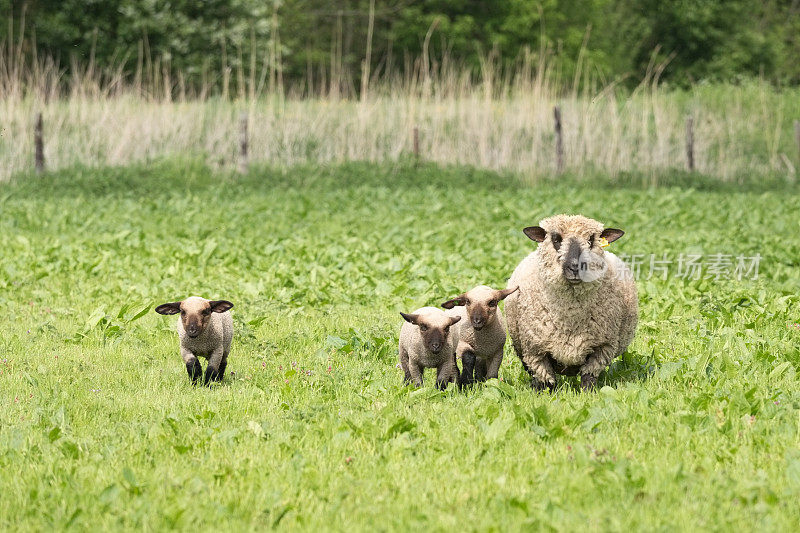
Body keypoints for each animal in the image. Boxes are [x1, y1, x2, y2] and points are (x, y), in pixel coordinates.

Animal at [506, 214, 636, 392]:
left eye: (591, 240)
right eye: (556, 239)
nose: (576, 266)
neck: (570, 316)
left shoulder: (603, 347)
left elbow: (589, 378)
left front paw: (589, 395)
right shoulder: (535, 350)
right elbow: (546, 381)